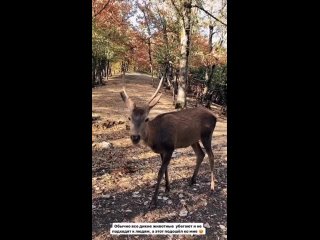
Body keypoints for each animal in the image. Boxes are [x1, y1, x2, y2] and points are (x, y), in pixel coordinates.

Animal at [120, 77, 218, 208]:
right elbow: (165, 168)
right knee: (200, 154)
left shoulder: (170, 147)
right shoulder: (163, 151)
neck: (156, 138)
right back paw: (192, 180)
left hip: (207, 135)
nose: (135, 137)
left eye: (146, 119)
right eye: (129, 117)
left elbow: (160, 172)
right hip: (193, 139)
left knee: (211, 156)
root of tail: (215, 116)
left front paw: (153, 201)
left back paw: (212, 187)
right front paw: (167, 187)